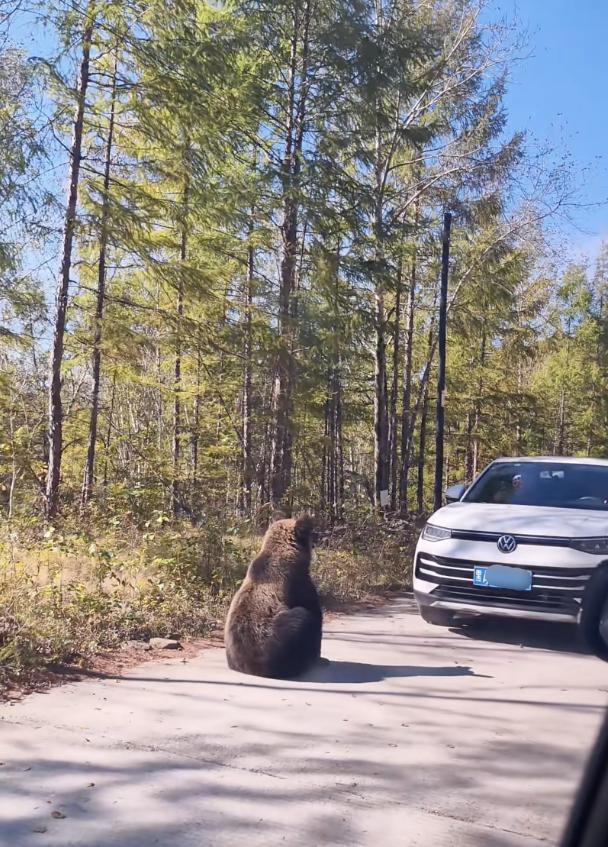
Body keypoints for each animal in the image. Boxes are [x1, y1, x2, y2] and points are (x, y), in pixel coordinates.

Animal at [224, 514, 322, 679]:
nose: (315, 542)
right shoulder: (300, 584)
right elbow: (314, 613)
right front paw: (319, 657)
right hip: (275, 638)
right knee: (302, 617)